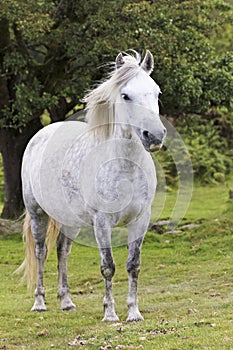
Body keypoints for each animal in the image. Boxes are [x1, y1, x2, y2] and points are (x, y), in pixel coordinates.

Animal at [19, 50, 166, 322]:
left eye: (156, 92)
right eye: (125, 95)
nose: (155, 136)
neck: (124, 168)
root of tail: (42, 133)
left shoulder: (140, 219)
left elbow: (133, 265)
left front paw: (134, 313)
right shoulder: (102, 222)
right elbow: (108, 267)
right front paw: (110, 314)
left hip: (70, 221)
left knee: (62, 251)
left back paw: (66, 302)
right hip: (37, 213)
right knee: (41, 252)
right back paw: (39, 303)